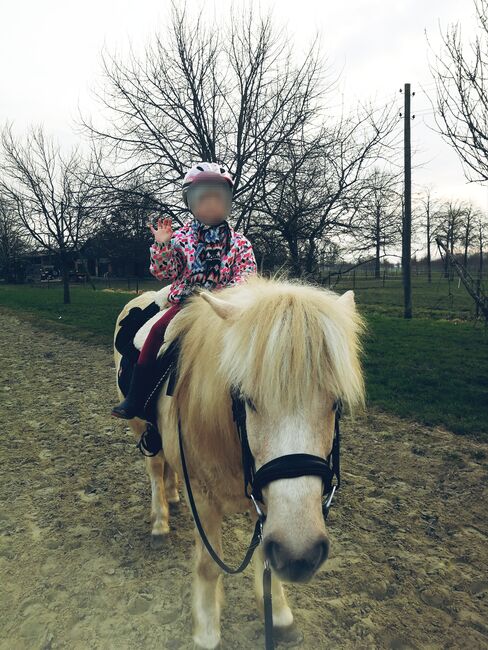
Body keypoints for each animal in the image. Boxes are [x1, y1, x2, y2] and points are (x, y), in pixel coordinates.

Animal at [112, 274, 364, 648]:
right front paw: (206, 628)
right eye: (245, 398)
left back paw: (172, 496)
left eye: (336, 403)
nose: (300, 554)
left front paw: (279, 616)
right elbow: (208, 564)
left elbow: (265, 557)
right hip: (141, 428)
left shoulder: (267, 502)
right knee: (156, 469)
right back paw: (160, 522)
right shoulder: (203, 499)